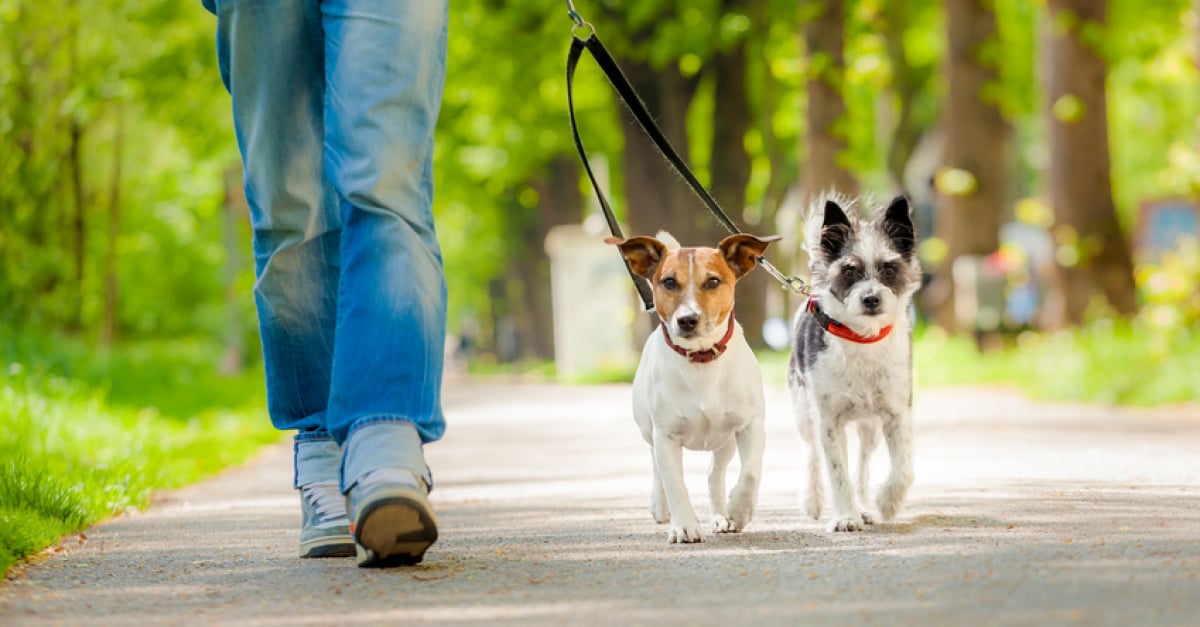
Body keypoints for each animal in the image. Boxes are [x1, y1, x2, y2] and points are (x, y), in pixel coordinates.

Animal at [609, 230, 777, 540]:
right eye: (669, 282)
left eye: (713, 281)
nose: (687, 320)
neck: (701, 359)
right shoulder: (666, 436)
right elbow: (675, 484)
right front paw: (684, 525)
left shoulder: (751, 426)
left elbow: (750, 473)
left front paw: (739, 511)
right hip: (649, 431)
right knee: (657, 469)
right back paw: (660, 506)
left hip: (725, 442)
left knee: (714, 473)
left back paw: (720, 516)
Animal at [792, 192, 921, 528]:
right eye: (849, 270)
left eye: (889, 268)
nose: (871, 298)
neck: (862, 339)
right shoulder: (828, 422)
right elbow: (837, 473)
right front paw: (845, 516)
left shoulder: (897, 414)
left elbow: (905, 468)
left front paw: (887, 503)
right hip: (804, 413)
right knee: (812, 454)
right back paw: (814, 499)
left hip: (869, 428)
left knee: (862, 465)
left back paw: (864, 505)